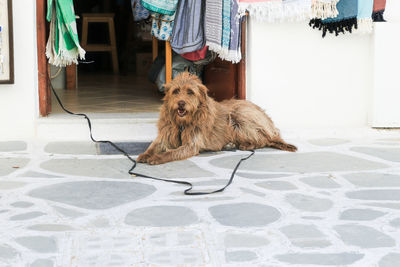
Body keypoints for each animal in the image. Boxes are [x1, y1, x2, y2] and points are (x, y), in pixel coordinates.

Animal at [138, 72, 296, 164]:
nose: (181, 103)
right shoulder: (165, 136)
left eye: (190, 92)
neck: (182, 123)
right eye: (176, 91)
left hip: (239, 116)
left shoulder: (191, 144)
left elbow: (171, 152)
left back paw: (245, 145)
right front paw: (145, 155)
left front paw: (157, 158)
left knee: (264, 139)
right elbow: (154, 146)